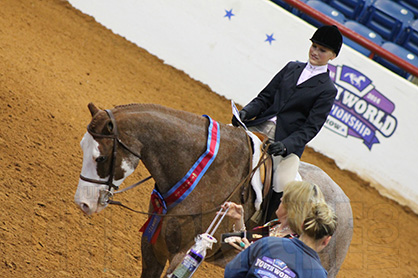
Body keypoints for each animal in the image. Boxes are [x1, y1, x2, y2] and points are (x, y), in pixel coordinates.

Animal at [74, 102, 352, 278]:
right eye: (82, 147)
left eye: (100, 157)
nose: (83, 203)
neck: (200, 173)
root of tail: (345, 203)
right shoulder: (152, 245)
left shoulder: (183, 252)